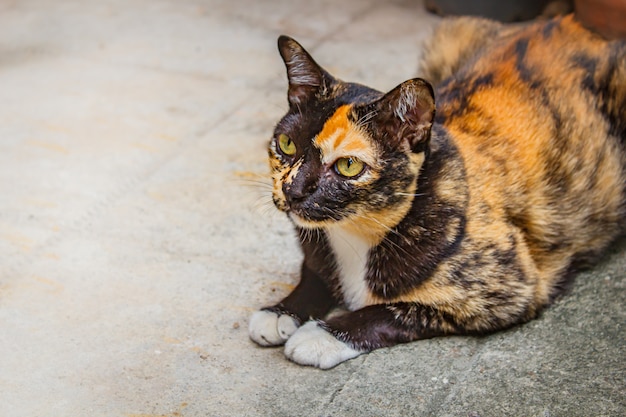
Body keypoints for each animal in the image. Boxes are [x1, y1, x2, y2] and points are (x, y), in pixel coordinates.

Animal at [247, 14, 624, 368]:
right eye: (286, 144)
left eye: (348, 166)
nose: (293, 190)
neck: (354, 235)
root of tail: (568, 22)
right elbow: (314, 273)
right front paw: (282, 311)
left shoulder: (507, 289)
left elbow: (397, 310)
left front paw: (323, 335)